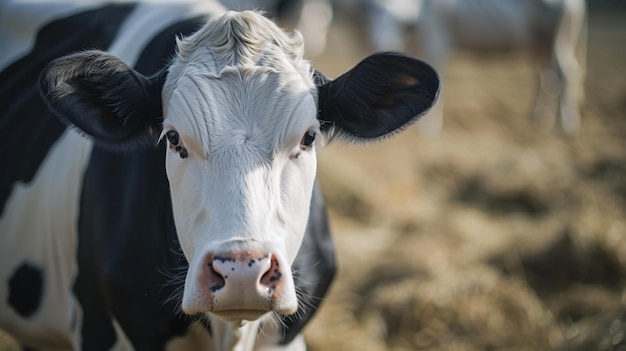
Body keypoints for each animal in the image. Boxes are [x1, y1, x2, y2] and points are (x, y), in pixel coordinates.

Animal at [338, 0, 584, 135]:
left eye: (400, 18)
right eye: (370, 9)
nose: (381, 40)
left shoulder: (437, 41)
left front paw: (427, 129)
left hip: (557, 38)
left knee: (564, 74)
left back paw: (566, 125)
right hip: (535, 46)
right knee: (545, 76)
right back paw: (536, 118)